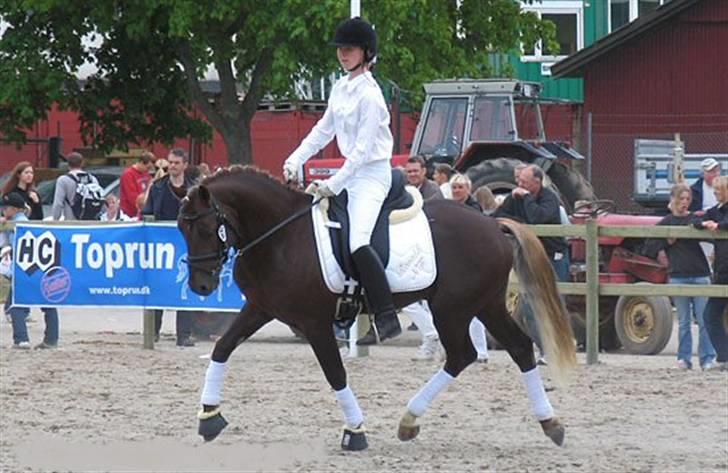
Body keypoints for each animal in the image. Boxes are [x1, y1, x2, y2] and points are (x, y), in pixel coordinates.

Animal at [176, 166, 576, 450]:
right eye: (181, 228)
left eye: (207, 229)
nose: (200, 286)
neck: (280, 236)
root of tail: (493, 224)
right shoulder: (261, 308)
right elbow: (222, 347)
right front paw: (209, 416)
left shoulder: (315, 322)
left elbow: (335, 373)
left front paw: (355, 431)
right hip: (485, 305)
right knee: (517, 348)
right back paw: (549, 423)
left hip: (453, 309)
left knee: (464, 354)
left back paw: (411, 418)